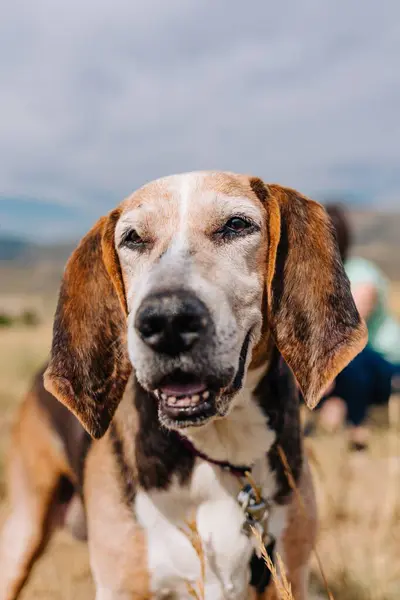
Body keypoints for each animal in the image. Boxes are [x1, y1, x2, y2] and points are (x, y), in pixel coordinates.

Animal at [0, 171, 368, 596]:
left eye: (236, 225)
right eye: (133, 238)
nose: (167, 321)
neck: (219, 450)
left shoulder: (288, 575)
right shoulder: (123, 586)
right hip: (23, 532)